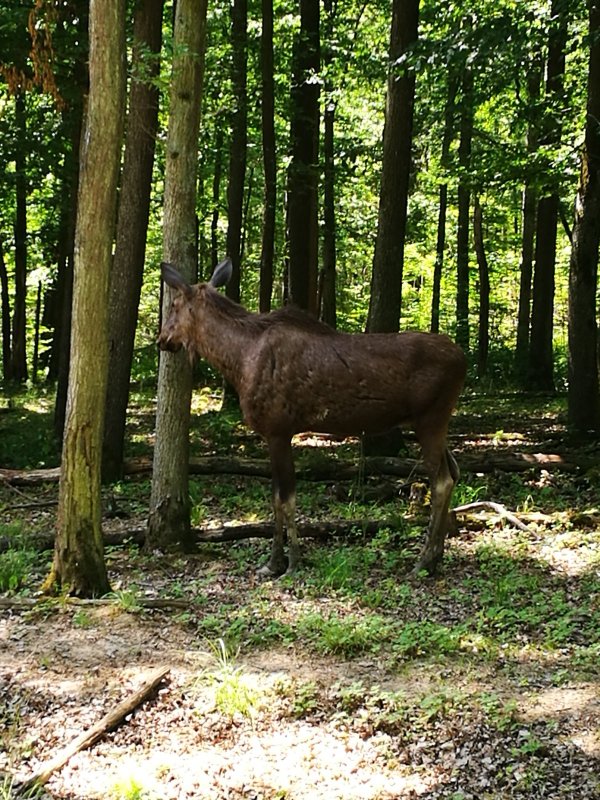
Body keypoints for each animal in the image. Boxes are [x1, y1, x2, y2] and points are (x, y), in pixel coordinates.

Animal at [158, 257, 467, 578]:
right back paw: (438, 555)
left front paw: (289, 562)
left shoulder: (278, 428)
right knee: (455, 471)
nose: (162, 339)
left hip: (430, 418)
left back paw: (424, 560)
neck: (238, 362)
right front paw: (273, 563)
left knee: (442, 480)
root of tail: (464, 359)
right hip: (436, 421)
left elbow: (286, 498)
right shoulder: (276, 433)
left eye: (174, 305)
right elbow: (275, 497)